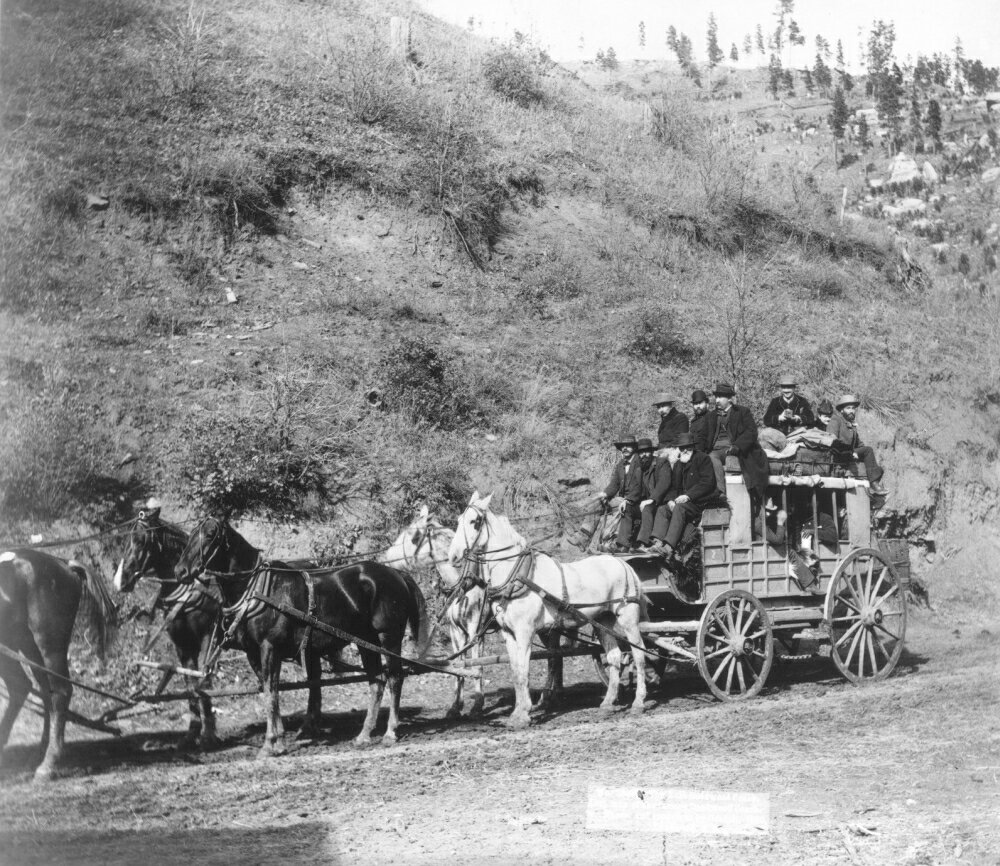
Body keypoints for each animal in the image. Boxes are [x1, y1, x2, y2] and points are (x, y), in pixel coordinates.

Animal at [0, 548, 116, 776]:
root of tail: (62, 563)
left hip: (49, 645)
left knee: (60, 692)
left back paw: (49, 763)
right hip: (24, 646)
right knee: (38, 690)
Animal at [114, 506, 222, 748]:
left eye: (140, 540)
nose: (119, 581)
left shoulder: (208, 638)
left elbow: (203, 683)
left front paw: (208, 734)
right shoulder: (182, 645)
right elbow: (190, 684)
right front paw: (193, 732)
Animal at [176, 516, 430, 752]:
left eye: (211, 534)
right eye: (192, 534)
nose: (180, 571)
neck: (257, 587)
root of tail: (395, 573)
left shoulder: (270, 647)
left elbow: (271, 690)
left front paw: (270, 743)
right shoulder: (253, 653)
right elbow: (270, 690)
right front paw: (279, 739)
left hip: (388, 637)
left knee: (395, 678)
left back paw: (390, 731)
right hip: (366, 641)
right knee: (376, 681)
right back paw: (364, 734)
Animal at [448, 490, 648, 724]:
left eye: (475, 522)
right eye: (459, 520)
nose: (453, 556)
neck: (517, 574)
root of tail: (624, 564)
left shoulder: (525, 631)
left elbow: (524, 670)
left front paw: (524, 713)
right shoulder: (508, 633)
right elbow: (516, 671)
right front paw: (517, 712)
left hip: (628, 618)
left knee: (639, 654)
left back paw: (638, 702)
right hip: (602, 621)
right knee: (614, 656)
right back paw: (607, 703)